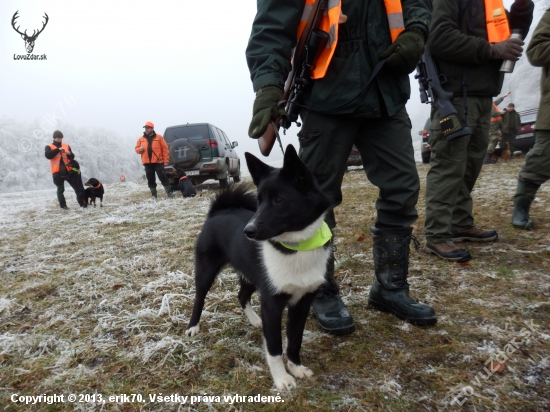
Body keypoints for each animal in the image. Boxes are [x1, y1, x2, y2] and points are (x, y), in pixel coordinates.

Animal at [185, 145, 334, 390]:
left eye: (278, 200)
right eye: (259, 200)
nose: (248, 231)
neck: (296, 247)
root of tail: (218, 211)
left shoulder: (302, 302)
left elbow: (295, 340)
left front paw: (295, 367)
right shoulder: (272, 303)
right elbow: (274, 347)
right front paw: (282, 378)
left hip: (252, 276)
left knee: (242, 295)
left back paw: (255, 320)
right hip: (206, 272)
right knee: (199, 298)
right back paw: (193, 327)